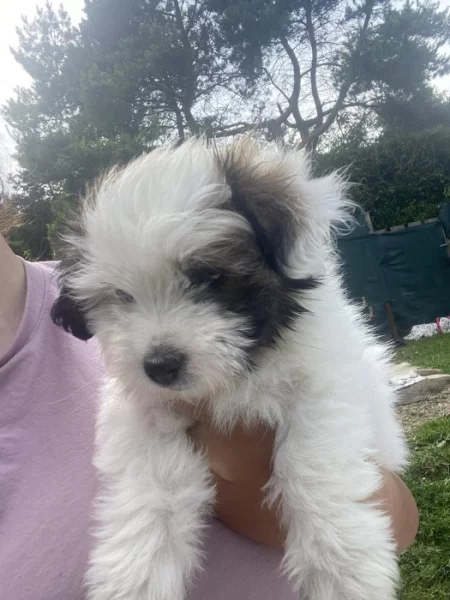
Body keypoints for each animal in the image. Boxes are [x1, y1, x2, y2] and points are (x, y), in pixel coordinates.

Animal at [51, 138, 406, 600]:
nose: (159, 366)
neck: (236, 379)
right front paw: (138, 576)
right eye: (122, 296)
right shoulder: (143, 412)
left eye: (208, 277)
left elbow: (310, 461)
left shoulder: (326, 384)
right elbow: (153, 484)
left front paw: (341, 567)